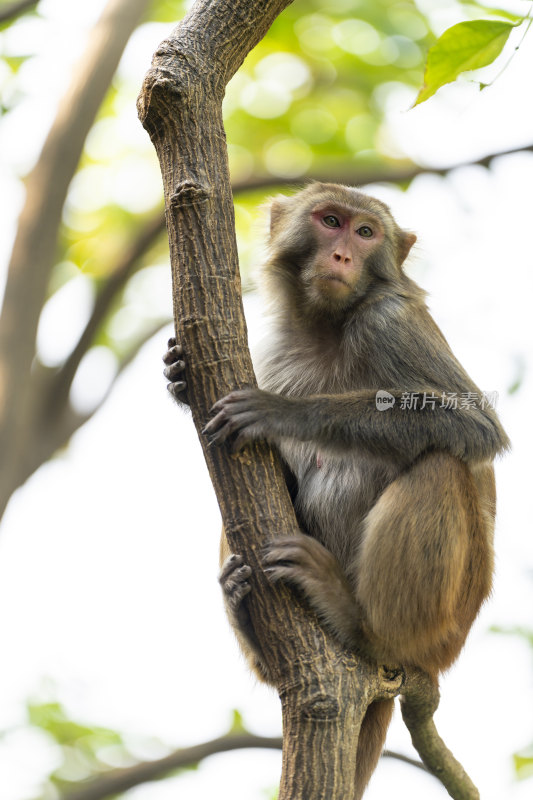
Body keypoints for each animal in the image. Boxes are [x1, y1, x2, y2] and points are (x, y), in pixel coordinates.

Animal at [162, 184, 508, 796]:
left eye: (365, 233)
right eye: (330, 222)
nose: (343, 254)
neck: (326, 325)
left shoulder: (390, 321)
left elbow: (475, 426)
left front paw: (284, 412)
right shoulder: (275, 349)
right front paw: (181, 378)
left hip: (441, 626)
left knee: (441, 463)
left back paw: (359, 624)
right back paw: (249, 617)